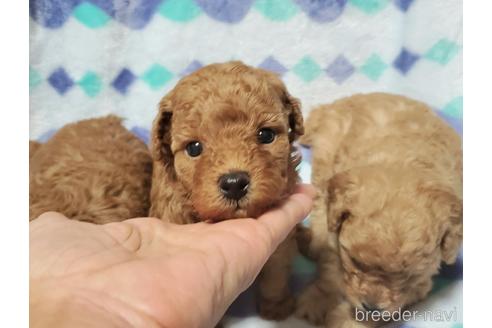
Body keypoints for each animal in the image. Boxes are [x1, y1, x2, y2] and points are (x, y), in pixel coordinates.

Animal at [150, 61, 304, 320]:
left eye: (266, 134)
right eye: (194, 148)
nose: (234, 183)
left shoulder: (282, 242)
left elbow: (276, 274)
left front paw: (277, 307)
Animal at [296, 93, 462, 328]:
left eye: (409, 275)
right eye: (355, 261)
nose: (371, 306)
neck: (404, 165)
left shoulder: (420, 284)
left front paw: (350, 321)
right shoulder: (335, 241)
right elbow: (330, 270)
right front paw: (317, 301)